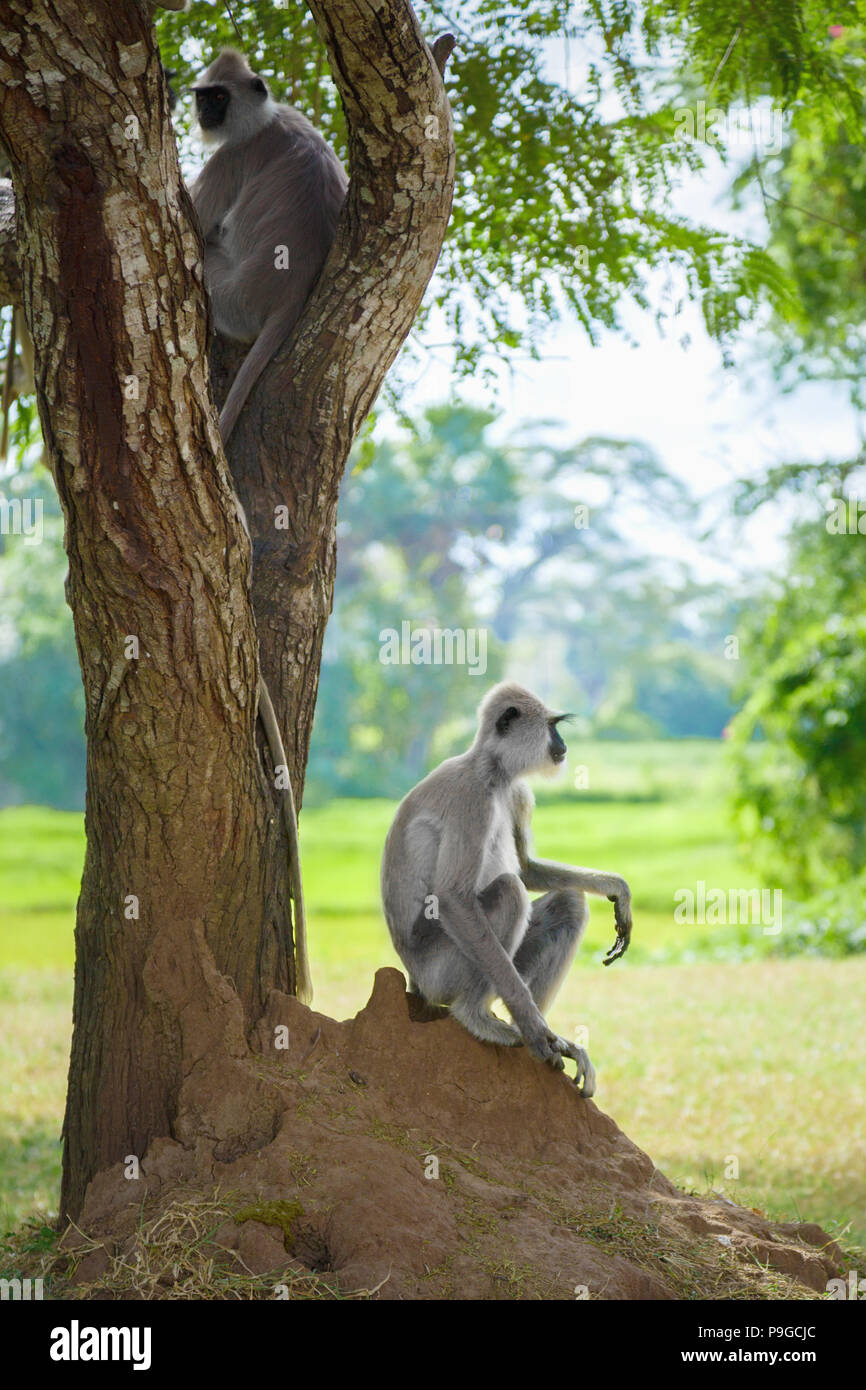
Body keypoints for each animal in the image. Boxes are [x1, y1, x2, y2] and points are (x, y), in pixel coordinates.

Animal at [383, 683, 633, 1095]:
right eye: (552, 727)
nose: (562, 744)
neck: (492, 773)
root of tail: (414, 980)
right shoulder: (472, 799)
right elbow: (453, 897)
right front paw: (534, 1030)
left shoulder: (517, 792)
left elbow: (528, 870)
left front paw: (617, 888)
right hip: (440, 969)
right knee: (509, 893)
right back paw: (480, 1018)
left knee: (567, 901)